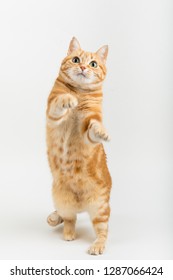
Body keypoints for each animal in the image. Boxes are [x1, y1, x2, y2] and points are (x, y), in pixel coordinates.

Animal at [46, 37, 111, 256]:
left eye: (93, 64)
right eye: (76, 59)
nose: (83, 67)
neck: (80, 93)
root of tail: (81, 204)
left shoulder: (89, 128)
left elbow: (95, 128)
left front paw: (102, 133)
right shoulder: (52, 113)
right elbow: (60, 101)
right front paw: (68, 99)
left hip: (100, 208)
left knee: (102, 231)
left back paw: (97, 246)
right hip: (62, 200)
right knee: (69, 219)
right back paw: (64, 230)